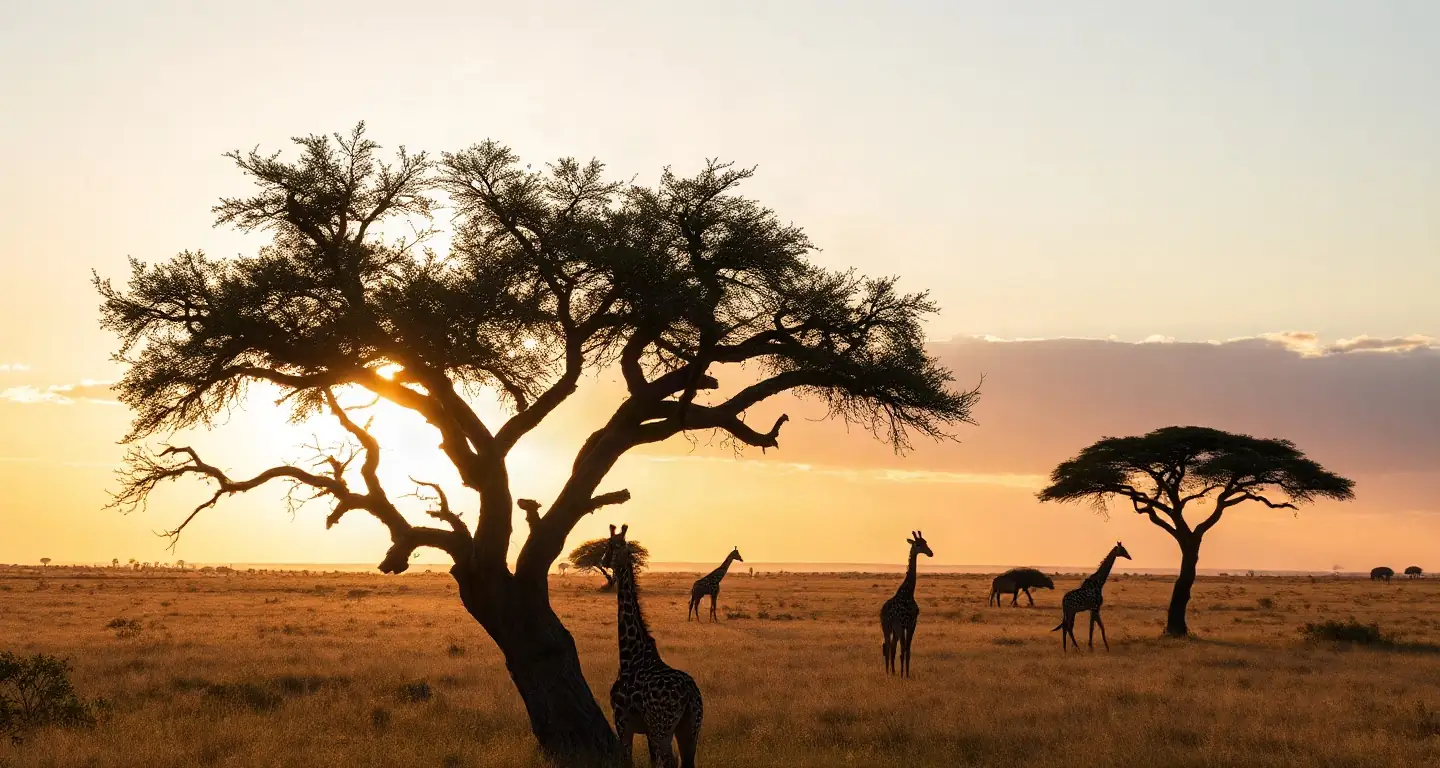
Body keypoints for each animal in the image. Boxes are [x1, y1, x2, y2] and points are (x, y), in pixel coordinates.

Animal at [601, 524, 704, 768]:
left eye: (613, 545)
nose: (603, 559)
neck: (631, 655)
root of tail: (690, 692)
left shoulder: (622, 721)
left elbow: (628, 760)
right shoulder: (646, 730)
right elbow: (650, 760)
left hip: (662, 727)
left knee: (669, 760)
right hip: (690, 727)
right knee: (686, 761)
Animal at [880, 530, 933, 678]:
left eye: (926, 542)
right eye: (918, 544)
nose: (930, 553)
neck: (908, 593)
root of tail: (881, 610)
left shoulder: (912, 624)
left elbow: (907, 650)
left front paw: (907, 675)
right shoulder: (900, 624)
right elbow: (902, 650)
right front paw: (903, 675)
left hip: (895, 629)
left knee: (892, 646)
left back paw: (893, 672)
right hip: (886, 626)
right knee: (887, 646)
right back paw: (888, 673)